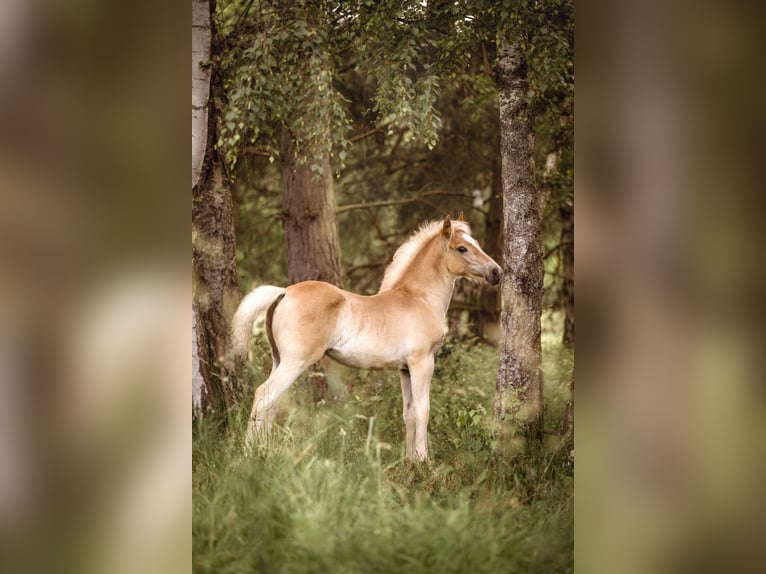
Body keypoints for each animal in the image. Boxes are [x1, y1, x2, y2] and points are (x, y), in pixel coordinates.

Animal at [230, 216, 504, 464]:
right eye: (462, 248)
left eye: (476, 243)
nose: (496, 271)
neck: (419, 299)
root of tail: (284, 292)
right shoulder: (422, 363)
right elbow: (423, 410)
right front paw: (423, 461)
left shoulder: (404, 370)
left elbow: (409, 414)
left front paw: (409, 463)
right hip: (294, 362)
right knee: (264, 396)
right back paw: (249, 455)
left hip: (278, 359)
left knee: (271, 405)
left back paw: (263, 452)